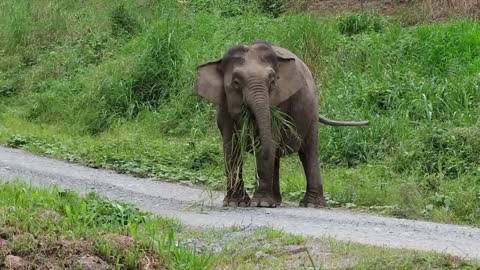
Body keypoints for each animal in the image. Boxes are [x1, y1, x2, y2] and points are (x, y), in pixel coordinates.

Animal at [193, 41, 366, 208]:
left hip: (311, 113)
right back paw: (275, 201)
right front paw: (236, 203)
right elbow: (232, 146)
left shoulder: (279, 103)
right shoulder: (223, 105)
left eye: (272, 81)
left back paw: (311, 204)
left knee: (308, 151)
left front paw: (260, 204)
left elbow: (267, 142)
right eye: (236, 82)